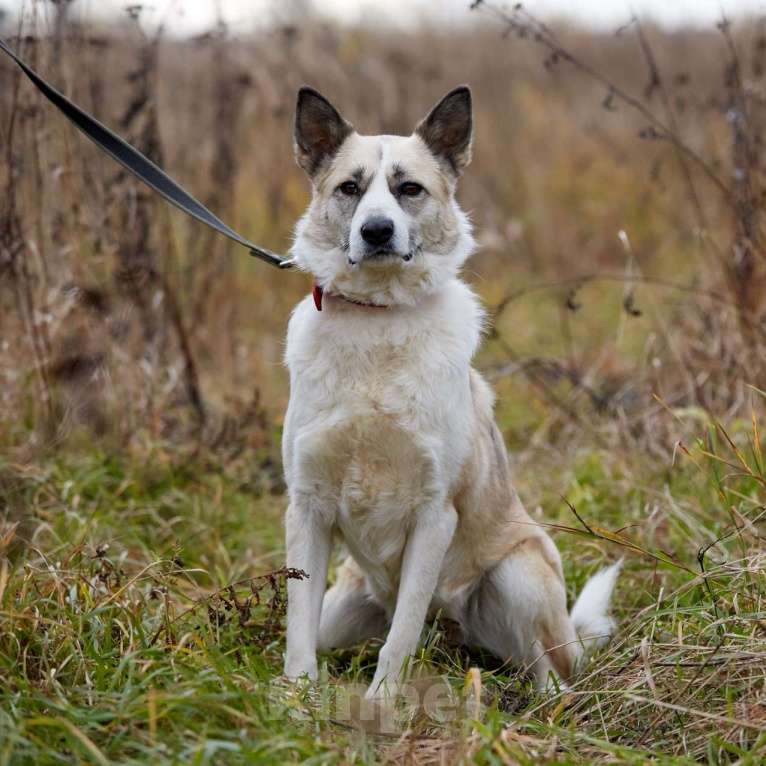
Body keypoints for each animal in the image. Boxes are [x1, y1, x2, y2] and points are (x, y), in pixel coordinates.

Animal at [280, 85, 620, 704]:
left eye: (409, 189)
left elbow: (401, 635)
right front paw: (297, 703)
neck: (379, 321)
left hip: (519, 573)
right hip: (345, 607)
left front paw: (382, 706)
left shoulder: (434, 516)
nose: (376, 231)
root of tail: (455, 631)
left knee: (549, 671)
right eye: (349, 189)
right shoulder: (307, 510)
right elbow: (298, 629)